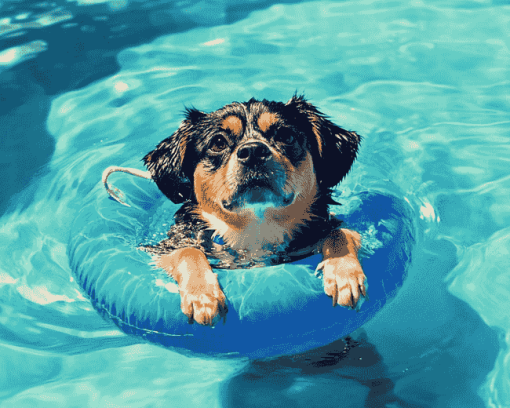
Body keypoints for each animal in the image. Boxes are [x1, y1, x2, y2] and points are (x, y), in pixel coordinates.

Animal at [103, 95, 366, 326]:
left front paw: (344, 274)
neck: (257, 226)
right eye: (218, 143)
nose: (253, 151)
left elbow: (341, 232)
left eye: (286, 135)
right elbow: (187, 251)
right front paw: (202, 295)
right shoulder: (162, 247)